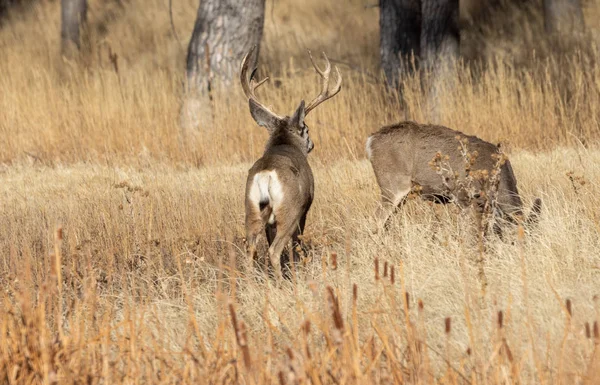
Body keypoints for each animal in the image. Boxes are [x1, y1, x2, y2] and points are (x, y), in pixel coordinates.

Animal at [240, 45, 342, 282]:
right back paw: (283, 282)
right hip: (290, 209)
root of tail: (266, 174)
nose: (312, 144)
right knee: (275, 249)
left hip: (251, 208)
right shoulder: (305, 207)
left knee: (251, 249)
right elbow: (297, 244)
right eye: (307, 129)